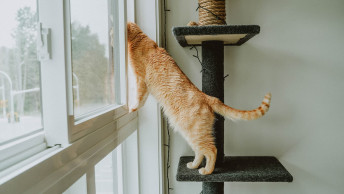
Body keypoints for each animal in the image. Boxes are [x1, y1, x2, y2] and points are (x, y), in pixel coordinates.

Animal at [127, 22, 272, 175]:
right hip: (192, 133)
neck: (139, 38)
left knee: (211, 150)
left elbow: (139, 97)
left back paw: (207, 170)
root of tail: (208, 97)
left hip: (195, 133)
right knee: (200, 151)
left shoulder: (140, 80)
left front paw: (132, 107)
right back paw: (194, 165)